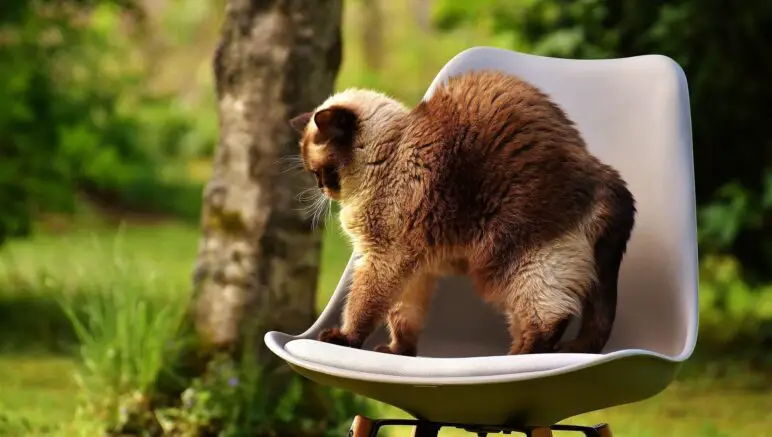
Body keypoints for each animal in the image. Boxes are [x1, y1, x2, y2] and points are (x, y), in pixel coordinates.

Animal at [286, 69, 636, 354]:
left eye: (321, 171)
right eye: (313, 174)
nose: (322, 189)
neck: (390, 152)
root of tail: (604, 174)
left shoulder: (384, 257)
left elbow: (362, 305)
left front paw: (344, 338)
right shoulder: (413, 267)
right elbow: (404, 315)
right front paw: (399, 352)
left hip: (515, 260)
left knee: (550, 314)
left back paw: (517, 357)